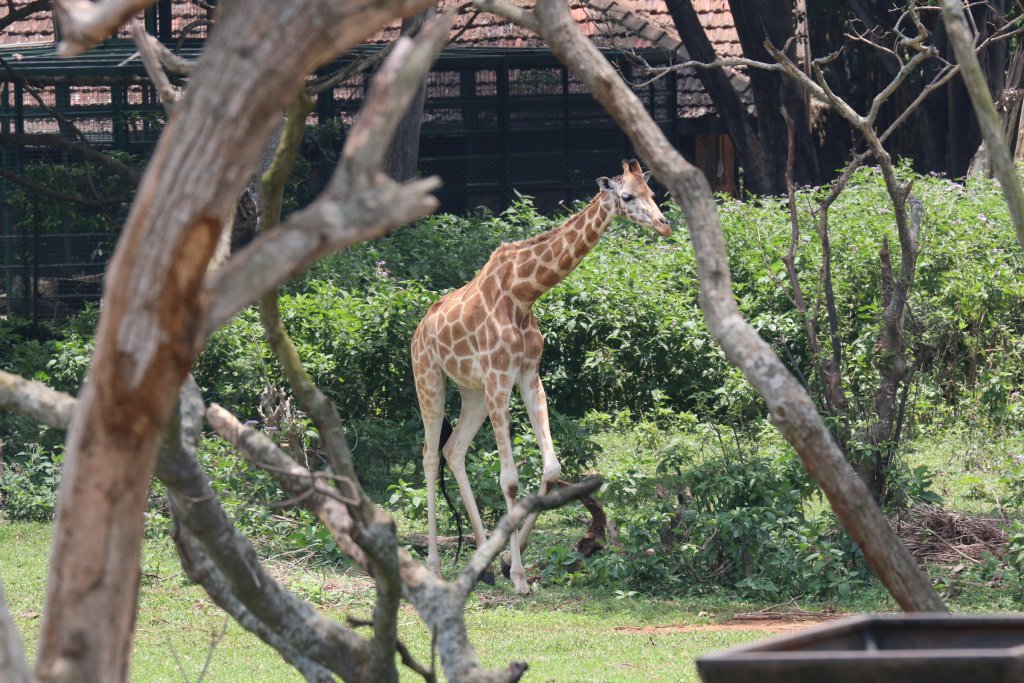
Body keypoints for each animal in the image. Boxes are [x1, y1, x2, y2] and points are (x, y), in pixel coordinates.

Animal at [411, 160, 671, 594]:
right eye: (627, 196)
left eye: (653, 193)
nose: (664, 224)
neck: (523, 294)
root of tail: (417, 331)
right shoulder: (500, 377)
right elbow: (509, 479)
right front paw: (518, 575)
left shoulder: (529, 376)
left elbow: (551, 469)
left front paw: (504, 562)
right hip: (429, 379)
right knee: (431, 456)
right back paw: (433, 566)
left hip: (472, 391)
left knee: (454, 450)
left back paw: (483, 558)